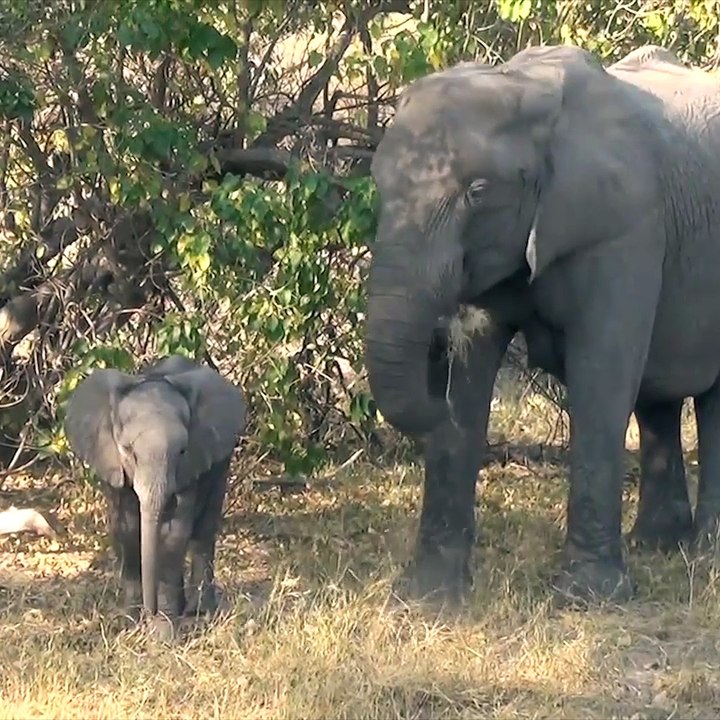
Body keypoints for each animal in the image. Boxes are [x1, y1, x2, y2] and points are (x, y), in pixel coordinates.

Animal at [64, 354, 247, 630]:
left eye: (182, 451)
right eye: (128, 451)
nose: (149, 612)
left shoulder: (191, 463)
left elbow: (172, 533)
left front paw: (163, 629)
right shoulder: (111, 462)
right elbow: (125, 530)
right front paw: (129, 622)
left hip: (221, 461)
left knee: (204, 532)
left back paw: (199, 612)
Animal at [364, 44, 720, 606]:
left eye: (478, 191)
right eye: (378, 183)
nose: (432, 353)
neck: (522, 87)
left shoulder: (623, 227)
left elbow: (603, 372)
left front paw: (589, 598)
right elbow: (474, 358)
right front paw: (432, 595)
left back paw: (704, 551)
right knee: (658, 396)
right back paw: (657, 545)